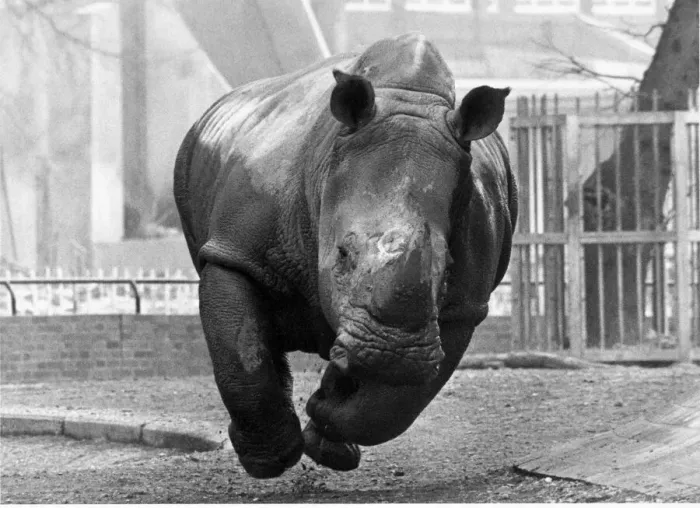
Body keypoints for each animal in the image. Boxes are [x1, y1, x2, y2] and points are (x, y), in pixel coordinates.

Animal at [174, 33, 517, 479]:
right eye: (342, 255)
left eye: (446, 271)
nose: (390, 353)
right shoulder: (234, 251)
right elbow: (242, 352)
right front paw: (269, 461)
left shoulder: (464, 304)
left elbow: (396, 406)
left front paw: (324, 412)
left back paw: (330, 441)